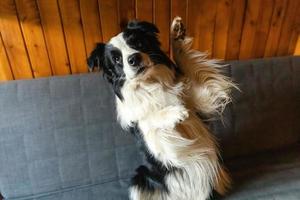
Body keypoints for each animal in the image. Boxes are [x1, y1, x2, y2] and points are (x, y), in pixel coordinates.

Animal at [86, 16, 234, 200]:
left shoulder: (204, 99)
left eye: (138, 43)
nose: (134, 58)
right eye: (117, 59)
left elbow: (184, 60)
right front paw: (175, 112)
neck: (151, 83)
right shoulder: (163, 147)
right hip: (139, 179)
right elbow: (149, 119)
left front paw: (176, 33)